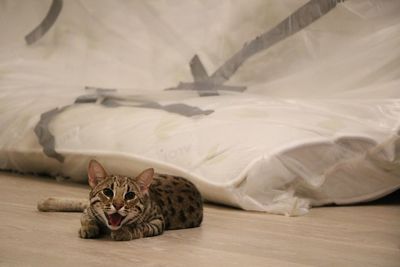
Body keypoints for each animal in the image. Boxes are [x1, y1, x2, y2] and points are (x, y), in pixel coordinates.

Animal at [38, 160, 203, 242]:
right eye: (107, 192)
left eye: (130, 195)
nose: (117, 205)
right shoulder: (89, 210)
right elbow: (86, 216)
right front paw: (89, 227)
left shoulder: (157, 222)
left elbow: (140, 226)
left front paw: (124, 232)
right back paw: (47, 202)